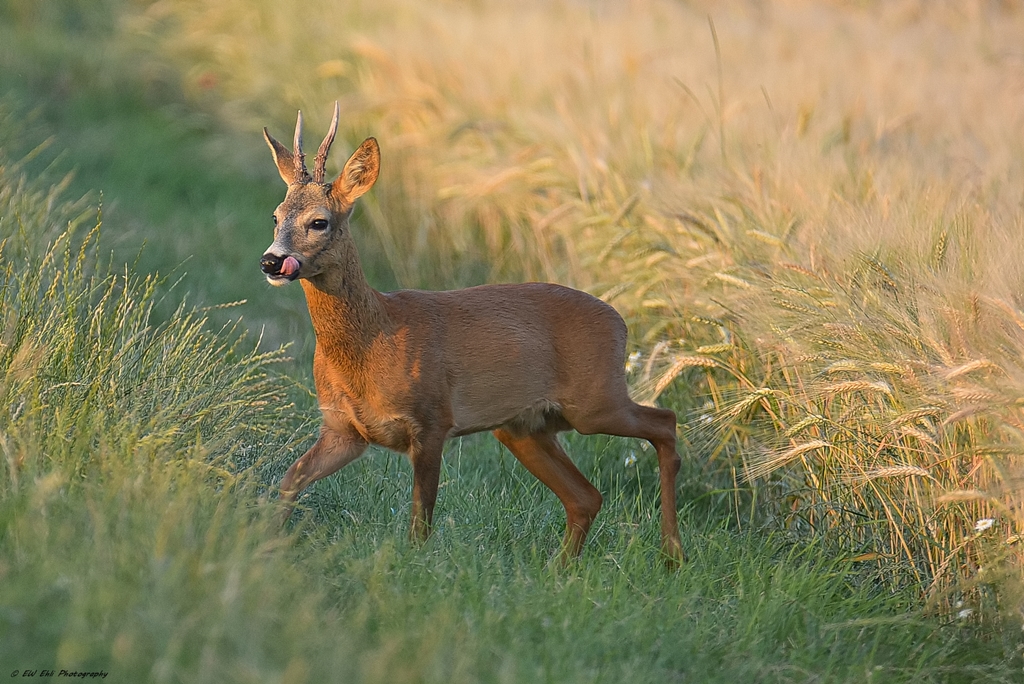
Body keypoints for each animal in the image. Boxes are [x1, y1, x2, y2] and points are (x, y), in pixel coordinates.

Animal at [260, 101, 684, 561]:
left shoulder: (432, 419)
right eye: (276, 216)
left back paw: (672, 554)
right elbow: (291, 478)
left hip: (594, 400)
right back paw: (563, 568)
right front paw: (268, 543)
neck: (375, 338)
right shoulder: (344, 430)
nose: (271, 261)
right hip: (525, 427)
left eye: (319, 222)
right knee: (586, 496)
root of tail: (619, 319)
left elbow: (420, 521)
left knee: (664, 422)